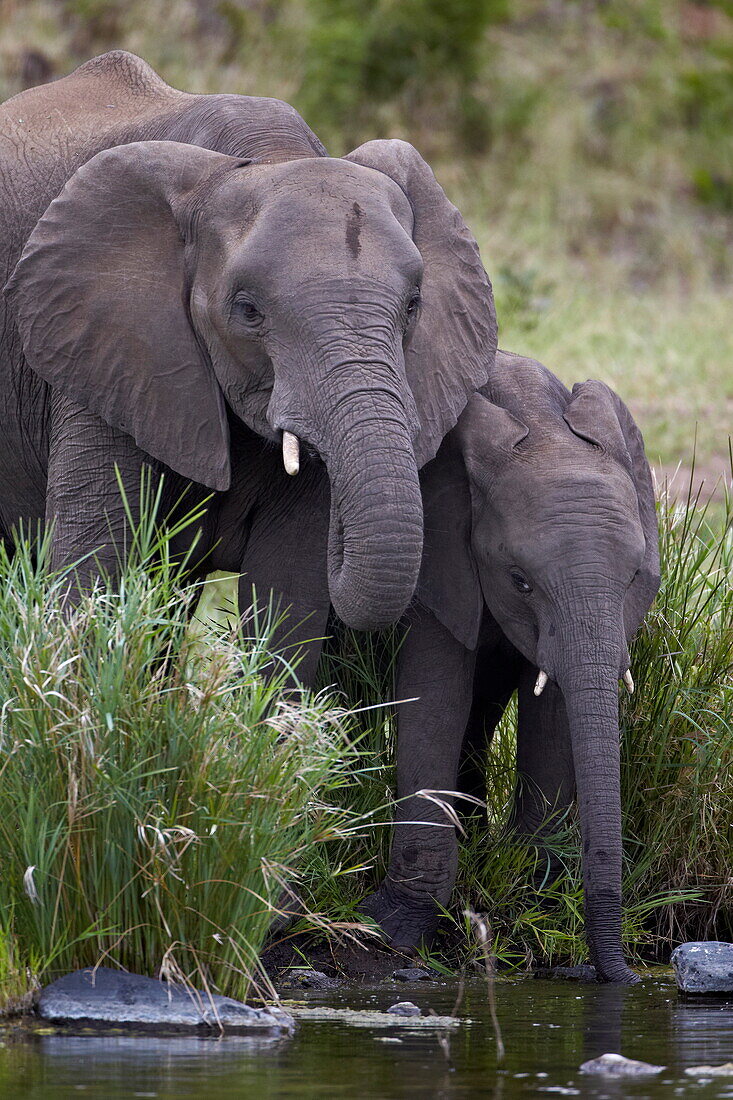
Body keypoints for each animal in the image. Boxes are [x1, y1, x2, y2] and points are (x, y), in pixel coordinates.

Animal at [363, 347, 660, 985]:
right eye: (520, 581)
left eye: (635, 579)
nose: (622, 978)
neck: (538, 418)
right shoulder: (439, 556)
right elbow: (435, 697)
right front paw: (394, 931)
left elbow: (552, 712)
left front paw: (536, 906)